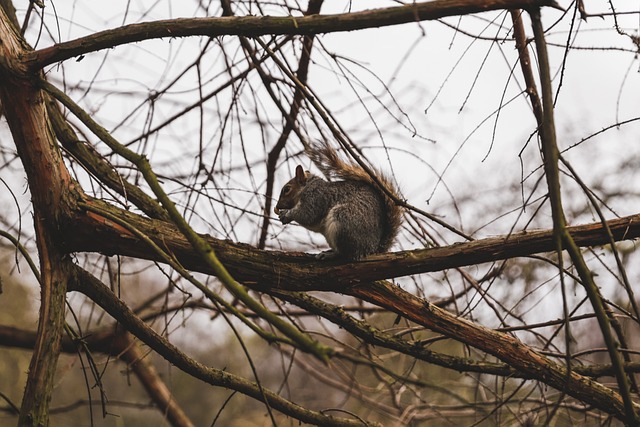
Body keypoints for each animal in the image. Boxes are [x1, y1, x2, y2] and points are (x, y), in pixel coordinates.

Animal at [274, 141, 402, 260]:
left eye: (287, 189)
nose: (278, 205)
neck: (307, 187)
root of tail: (373, 248)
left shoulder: (316, 198)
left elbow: (307, 215)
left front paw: (287, 214)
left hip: (344, 221)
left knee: (346, 253)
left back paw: (330, 254)